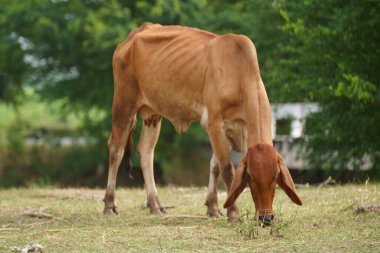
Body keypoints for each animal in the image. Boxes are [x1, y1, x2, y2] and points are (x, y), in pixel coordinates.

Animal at [104, 22, 302, 222]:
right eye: (251, 177)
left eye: (276, 177)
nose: (266, 217)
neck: (239, 75)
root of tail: (134, 34)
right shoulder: (214, 123)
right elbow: (226, 169)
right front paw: (233, 213)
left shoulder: (238, 129)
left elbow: (215, 166)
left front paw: (213, 207)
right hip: (124, 102)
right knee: (116, 149)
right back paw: (110, 205)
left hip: (152, 114)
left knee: (146, 151)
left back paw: (155, 205)